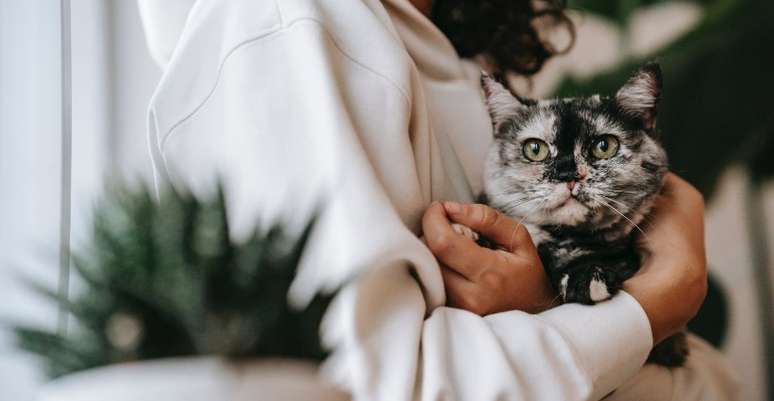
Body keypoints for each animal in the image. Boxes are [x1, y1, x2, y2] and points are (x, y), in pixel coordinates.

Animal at [466, 63, 692, 366]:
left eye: (604, 146)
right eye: (535, 149)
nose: (567, 174)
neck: (565, 241)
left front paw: (587, 279)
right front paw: (469, 232)